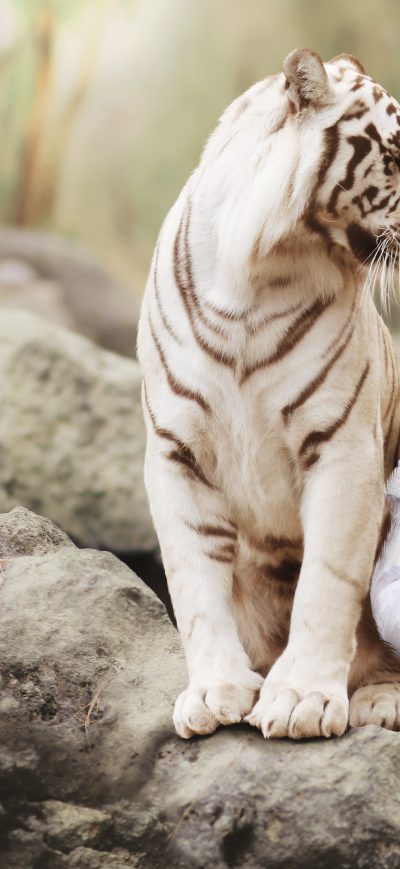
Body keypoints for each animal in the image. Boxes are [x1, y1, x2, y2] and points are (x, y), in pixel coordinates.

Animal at [137, 48, 400, 740]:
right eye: (397, 155)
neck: (261, 270)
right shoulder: (174, 450)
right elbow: (195, 583)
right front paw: (215, 692)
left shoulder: (343, 445)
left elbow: (327, 580)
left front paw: (302, 698)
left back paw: (379, 698)